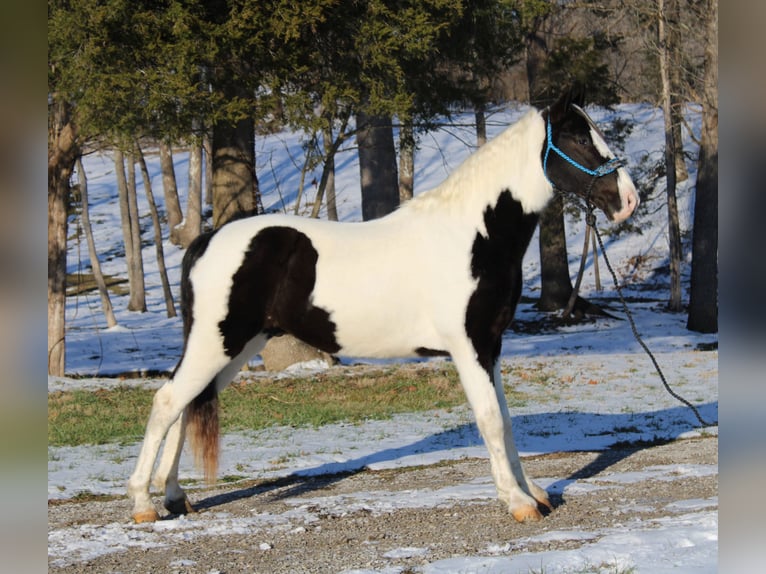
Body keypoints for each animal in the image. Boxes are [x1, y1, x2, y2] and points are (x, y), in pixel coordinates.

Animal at [127, 91, 640, 528]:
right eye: (579, 138)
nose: (628, 200)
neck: (474, 235)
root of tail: (206, 241)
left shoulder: (491, 346)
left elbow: (506, 420)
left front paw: (532, 491)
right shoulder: (469, 347)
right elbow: (490, 419)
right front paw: (517, 502)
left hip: (236, 346)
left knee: (188, 403)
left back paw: (176, 498)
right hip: (217, 343)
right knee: (168, 401)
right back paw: (143, 504)